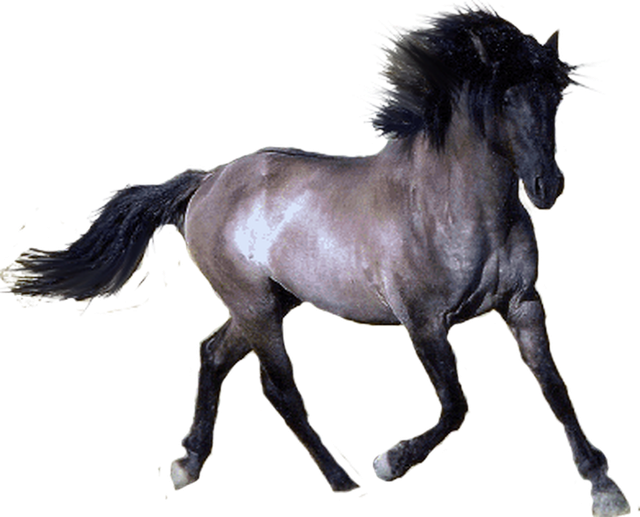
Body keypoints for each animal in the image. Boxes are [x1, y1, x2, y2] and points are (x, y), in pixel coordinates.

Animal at [0, 2, 632, 515]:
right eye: (503, 97)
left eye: (556, 97)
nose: (549, 186)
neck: (458, 207)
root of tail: (205, 182)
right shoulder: (423, 320)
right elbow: (456, 404)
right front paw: (389, 462)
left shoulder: (521, 304)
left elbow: (555, 386)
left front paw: (604, 487)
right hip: (256, 306)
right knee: (277, 388)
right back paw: (342, 479)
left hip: (270, 303)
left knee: (212, 354)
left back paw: (186, 466)